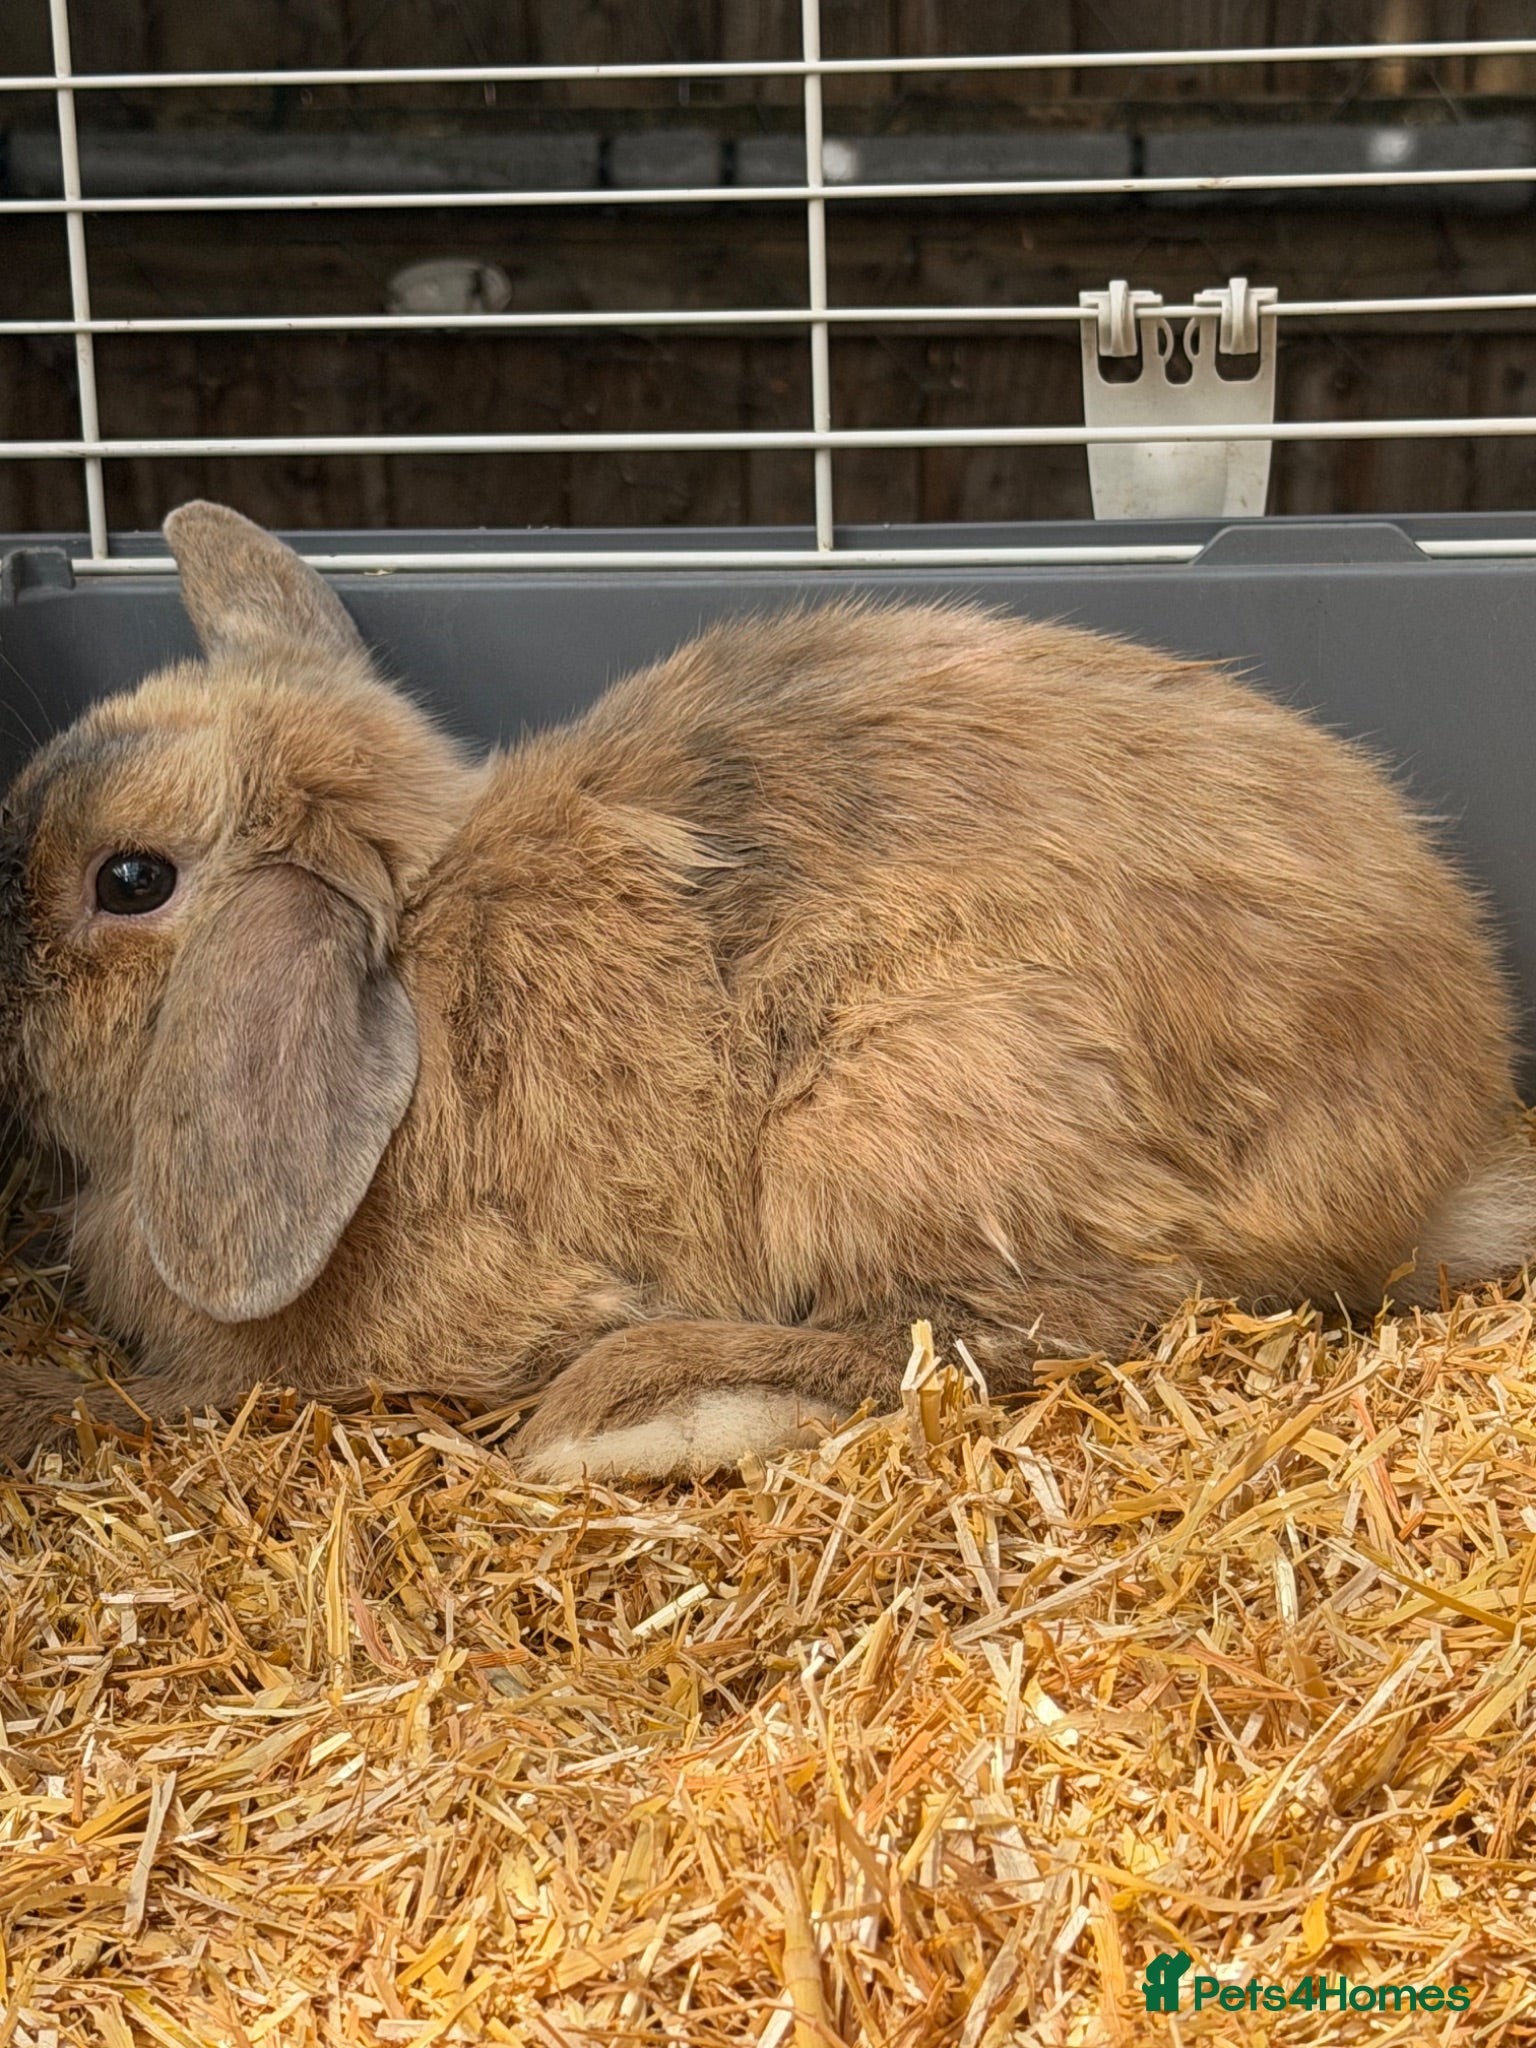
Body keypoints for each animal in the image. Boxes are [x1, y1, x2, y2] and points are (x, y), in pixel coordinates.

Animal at [1, 499, 1533, 1484]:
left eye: (128, 880)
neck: (412, 940)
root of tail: (1433, 1157)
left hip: (891, 1111)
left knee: (1012, 1330)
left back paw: (628, 1417)